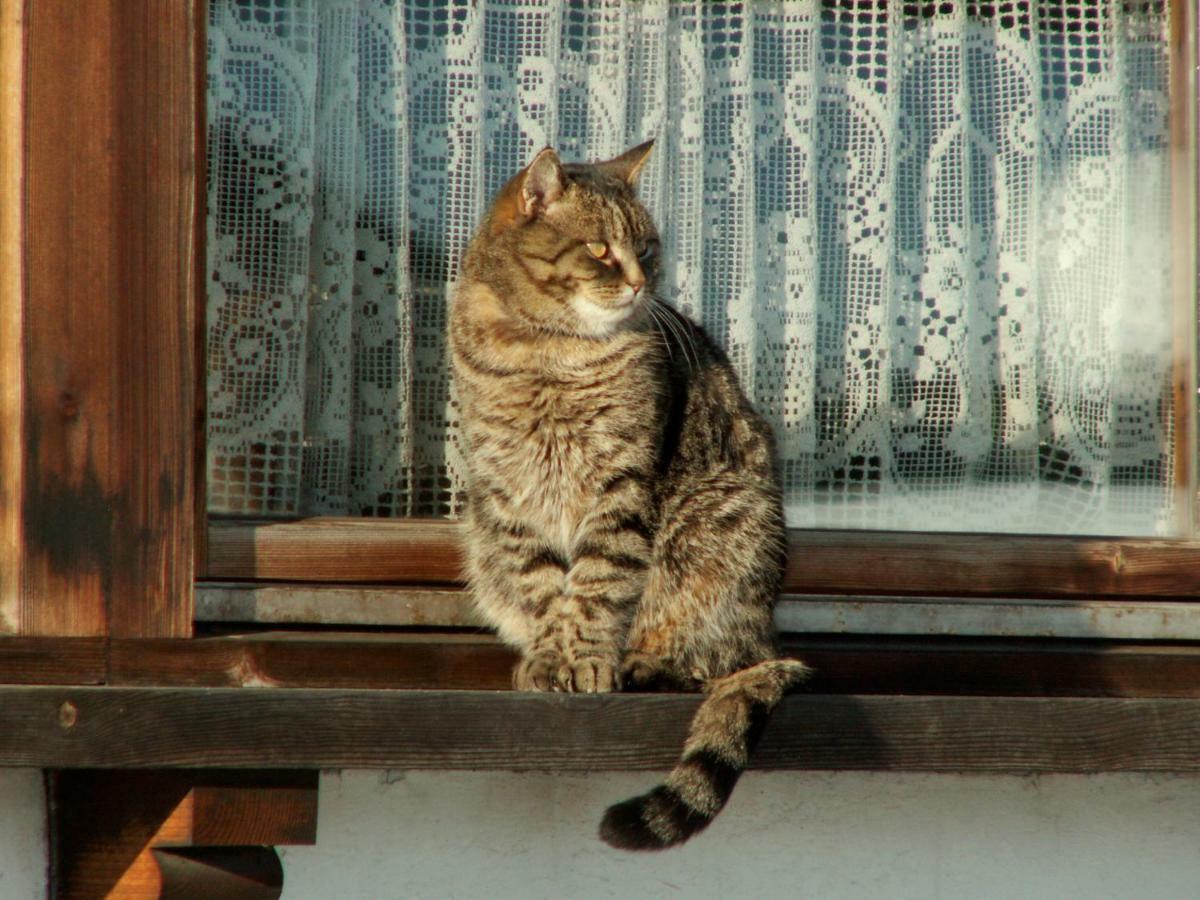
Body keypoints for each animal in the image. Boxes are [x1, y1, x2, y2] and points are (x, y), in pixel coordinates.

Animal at [448, 141, 806, 854]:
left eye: (646, 246)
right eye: (600, 250)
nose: (641, 283)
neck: (546, 350)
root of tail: (769, 632)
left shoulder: (622, 486)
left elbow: (595, 585)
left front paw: (584, 659)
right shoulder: (509, 496)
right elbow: (541, 586)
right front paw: (548, 658)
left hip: (717, 525)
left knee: (713, 658)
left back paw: (643, 664)